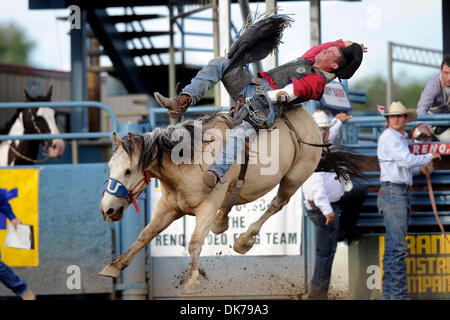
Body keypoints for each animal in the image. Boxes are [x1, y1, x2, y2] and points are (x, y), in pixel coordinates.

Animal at [98, 104, 362, 292]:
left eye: (128, 171)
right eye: (109, 166)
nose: (107, 210)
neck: (188, 161)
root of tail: (307, 119)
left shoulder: (206, 207)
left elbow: (194, 243)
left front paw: (192, 283)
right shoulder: (168, 208)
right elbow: (145, 235)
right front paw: (113, 266)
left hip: (294, 178)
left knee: (277, 204)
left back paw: (244, 240)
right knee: (233, 200)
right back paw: (223, 221)